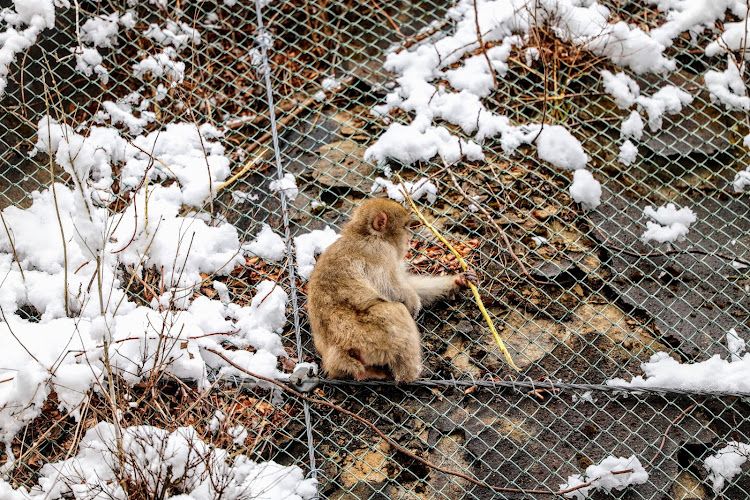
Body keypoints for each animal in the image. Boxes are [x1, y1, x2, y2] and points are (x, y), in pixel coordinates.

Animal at [308, 198, 478, 382]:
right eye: (404, 227)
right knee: (396, 310)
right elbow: (388, 287)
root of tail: (340, 354)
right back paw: (410, 376)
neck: (364, 234)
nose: (409, 240)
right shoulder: (379, 251)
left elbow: (410, 285)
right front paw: (413, 305)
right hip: (366, 337)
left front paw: (460, 280)